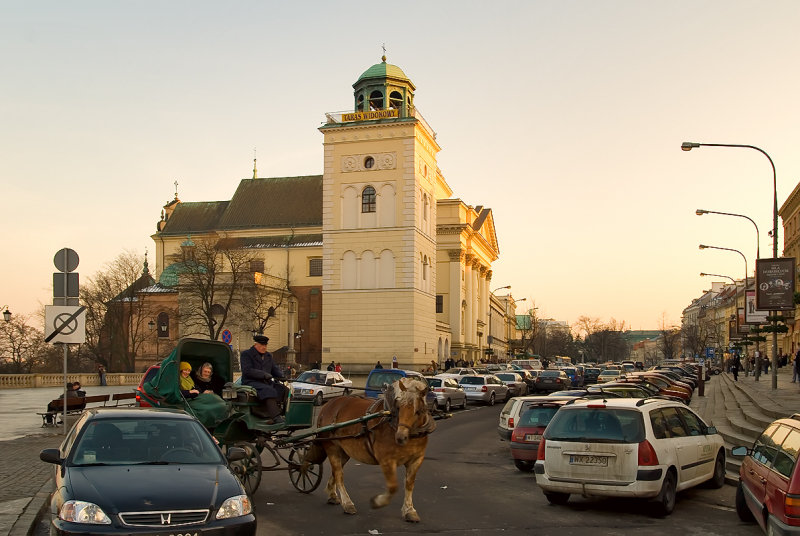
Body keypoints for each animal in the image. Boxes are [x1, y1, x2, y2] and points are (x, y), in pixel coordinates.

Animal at [302, 374, 438, 520]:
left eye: (418, 411)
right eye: (399, 408)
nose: (400, 437)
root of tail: (328, 405)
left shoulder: (416, 460)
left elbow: (409, 484)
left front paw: (409, 510)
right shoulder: (386, 460)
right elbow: (393, 487)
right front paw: (378, 502)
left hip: (343, 450)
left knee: (336, 471)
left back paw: (333, 495)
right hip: (332, 447)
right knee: (338, 474)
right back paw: (347, 503)